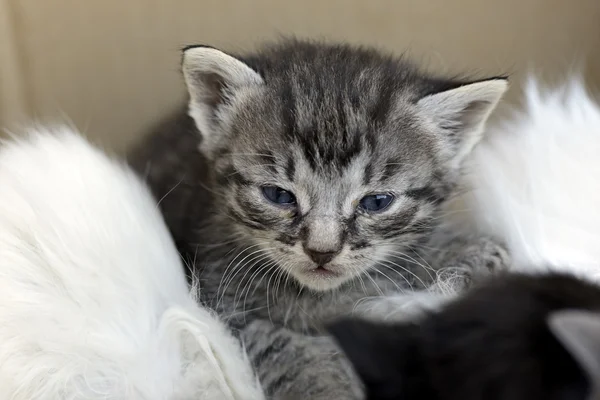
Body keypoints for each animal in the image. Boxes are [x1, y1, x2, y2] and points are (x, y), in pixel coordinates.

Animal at [129, 38, 508, 400]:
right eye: (278, 195)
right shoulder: (219, 304)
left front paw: (469, 262)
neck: (323, 299)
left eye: (376, 202)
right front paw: (328, 388)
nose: (321, 251)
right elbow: (283, 349)